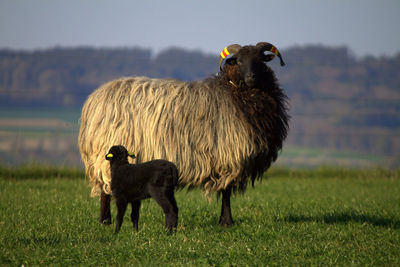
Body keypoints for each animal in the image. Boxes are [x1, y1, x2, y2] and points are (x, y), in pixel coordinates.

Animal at [79, 42, 290, 228]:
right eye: (238, 61)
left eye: (260, 60)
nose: (251, 77)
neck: (235, 93)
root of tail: (94, 100)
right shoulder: (228, 154)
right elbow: (226, 191)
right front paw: (227, 222)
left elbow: (225, 191)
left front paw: (224, 221)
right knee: (106, 187)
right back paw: (104, 220)